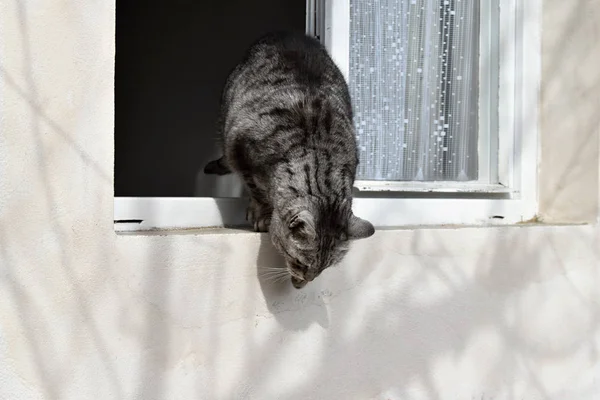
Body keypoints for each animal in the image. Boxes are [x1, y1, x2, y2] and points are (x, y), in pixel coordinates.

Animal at [206, 31, 376, 288]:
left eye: (325, 269)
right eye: (299, 263)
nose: (300, 286)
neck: (316, 152)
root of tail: (288, 33)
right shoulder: (240, 149)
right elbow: (255, 189)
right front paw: (262, 215)